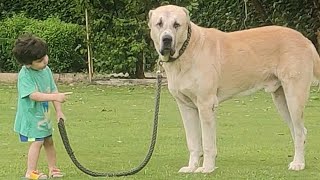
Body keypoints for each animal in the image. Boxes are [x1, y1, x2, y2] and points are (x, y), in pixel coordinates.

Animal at [149, 3, 320, 173]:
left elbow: (208, 142)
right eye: (159, 23)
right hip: (282, 100)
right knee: (298, 130)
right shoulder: (186, 107)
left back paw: (298, 164)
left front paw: (207, 168)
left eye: (177, 24)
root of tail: (305, 40)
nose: (166, 39)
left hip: (294, 97)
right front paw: (191, 167)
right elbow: (193, 141)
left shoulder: (206, 104)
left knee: (299, 131)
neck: (186, 49)